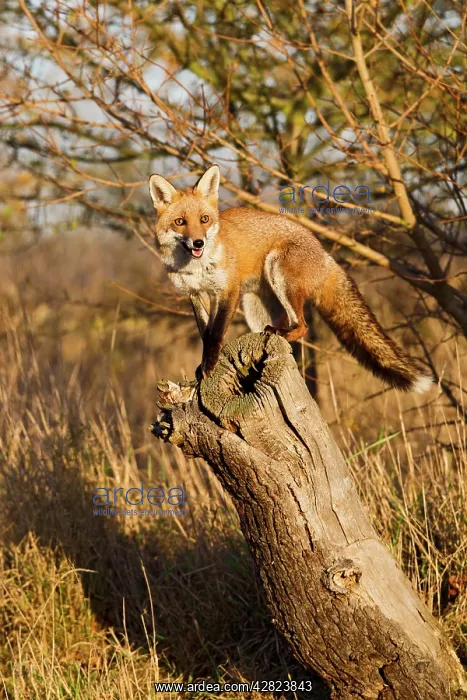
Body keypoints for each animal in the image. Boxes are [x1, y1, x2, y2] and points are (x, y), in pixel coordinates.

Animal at [148, 164, 433, 392]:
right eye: (180, 222)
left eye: (205, 219)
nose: (198, 243)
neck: (194, 267)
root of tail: (325, 254)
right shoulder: (197, 294)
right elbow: (205, 333)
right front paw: (203, 365)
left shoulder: (227, 291)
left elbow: (216, 332)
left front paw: (209, 365)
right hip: (255, 308)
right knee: (287, 327)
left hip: (279, 274)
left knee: (303, 326)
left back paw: (282, 335)